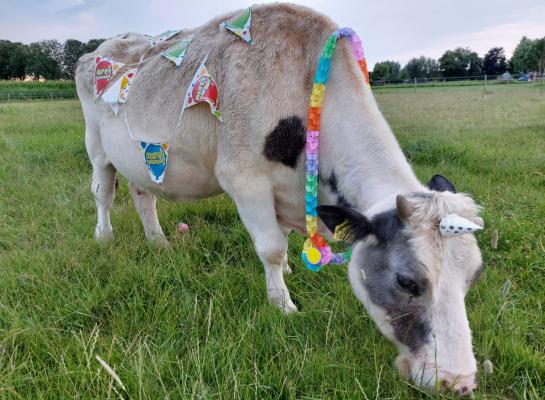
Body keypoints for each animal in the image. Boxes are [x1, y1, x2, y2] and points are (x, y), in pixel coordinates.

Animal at [75, 3, 484, 396]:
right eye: (407, 282)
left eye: (474, 275)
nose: (458, 382)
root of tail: (102, 47)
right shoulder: (244, 178)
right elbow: (271, 247)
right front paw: (283, 303)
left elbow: (283, 241)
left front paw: (286, 273)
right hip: (96, 144)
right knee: (102, 192)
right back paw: (103, 235)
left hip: (138, 159)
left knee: (143, 195)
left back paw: (158, 241)